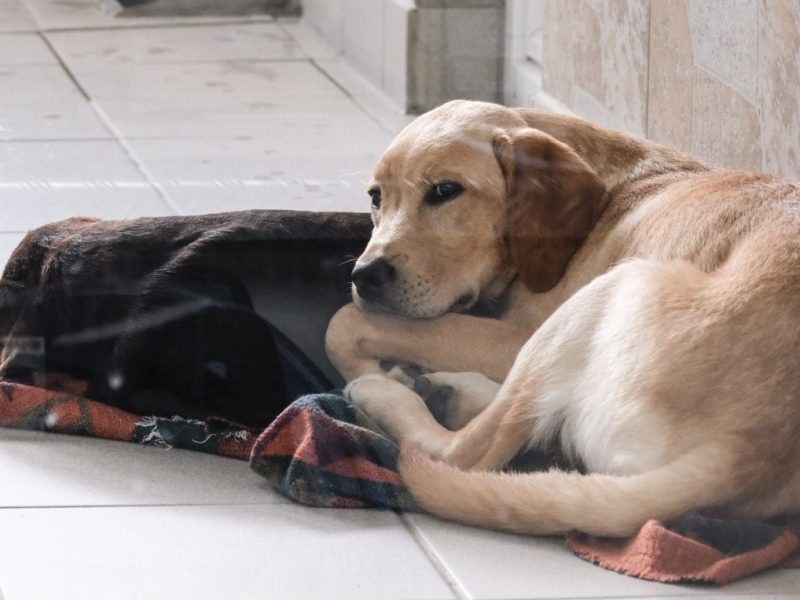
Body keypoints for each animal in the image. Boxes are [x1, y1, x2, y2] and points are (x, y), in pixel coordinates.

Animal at [324, 101, 800, 536]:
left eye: (444, 190)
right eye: (375, 198)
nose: (364, 275)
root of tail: (744, 452)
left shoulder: (514, 337)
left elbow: (344, 323)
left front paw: (375, 368)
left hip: (601, 296)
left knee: (464, 453)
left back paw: (385, 393)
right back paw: (452, 392)